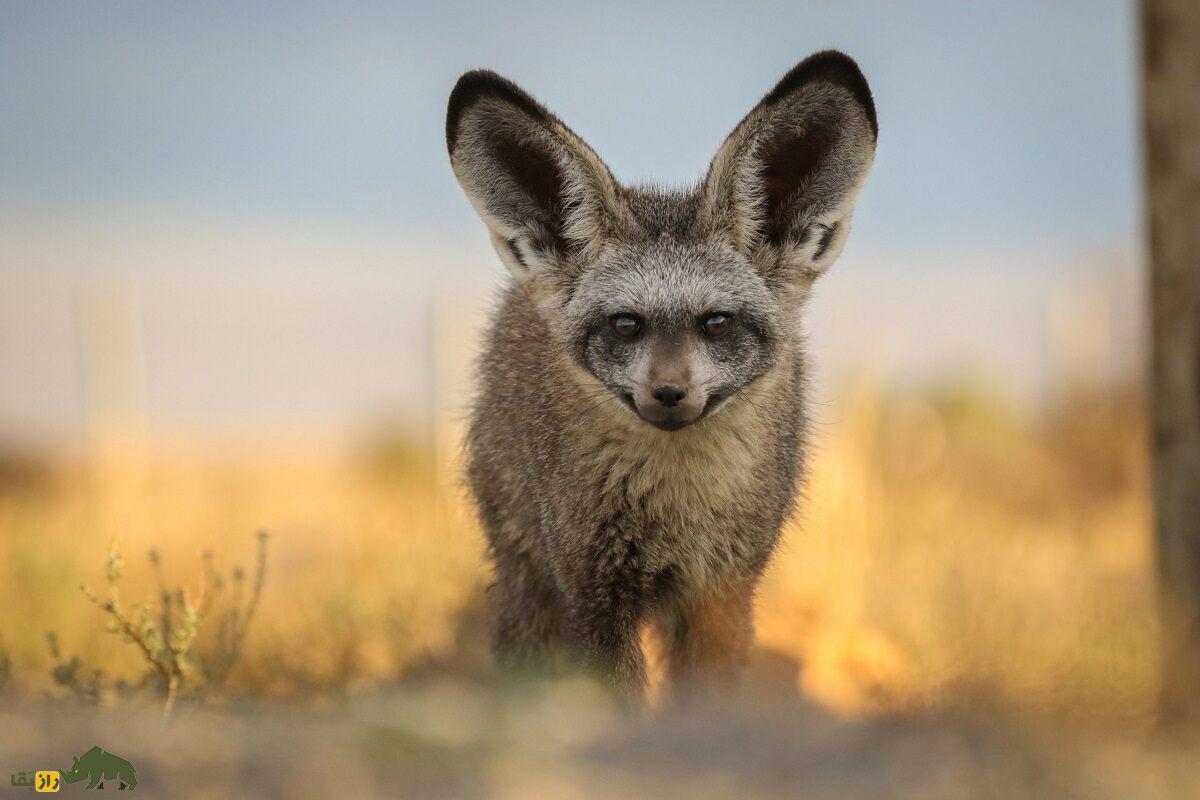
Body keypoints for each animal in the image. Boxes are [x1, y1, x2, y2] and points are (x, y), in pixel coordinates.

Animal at [446, 50, 878, 705]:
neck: (678, 510)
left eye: (716, 322)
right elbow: (618, 699)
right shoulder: (594, 589)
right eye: (627, 324)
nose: (669, 394)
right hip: (528, 579)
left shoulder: (724, 590)